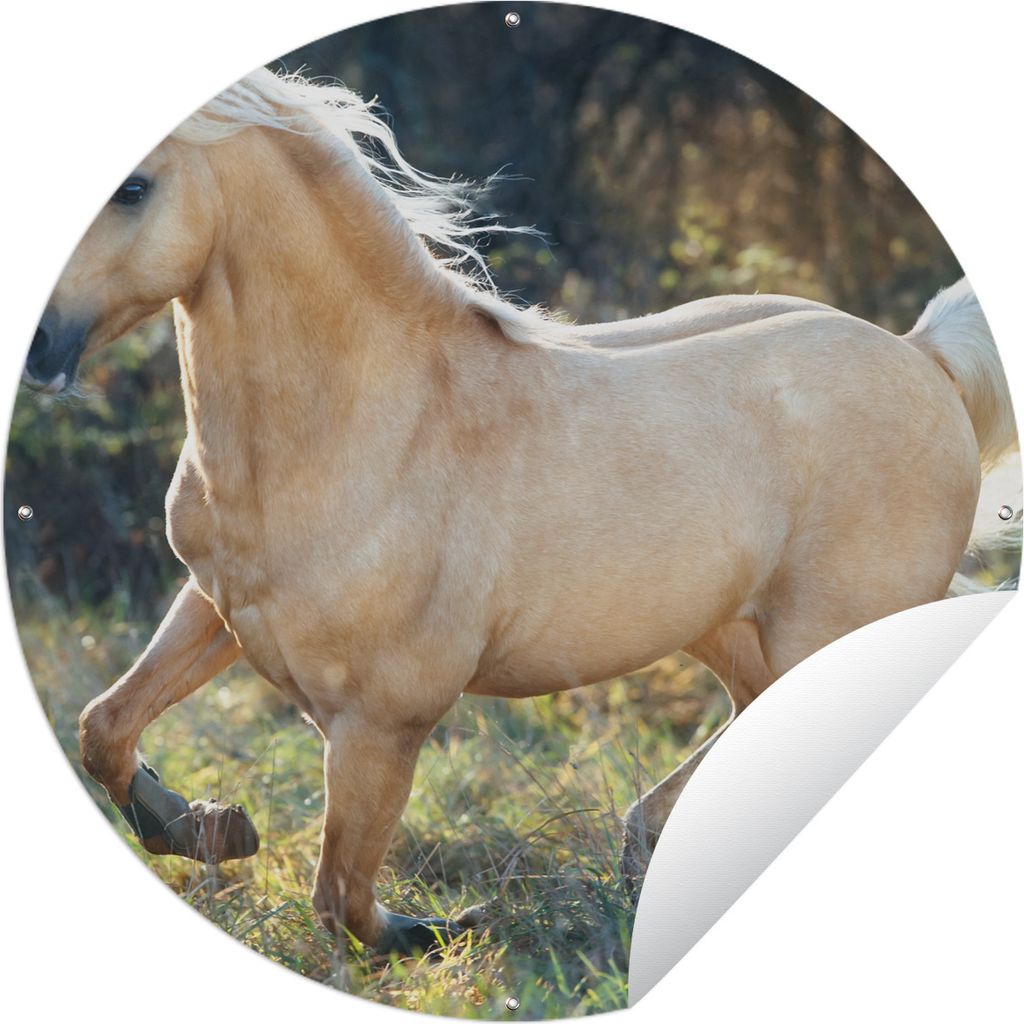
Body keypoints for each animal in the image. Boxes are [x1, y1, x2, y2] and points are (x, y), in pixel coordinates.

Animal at [26, 69, 1013, 953]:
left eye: (133, 186)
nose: (36, 349)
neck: (365, 424)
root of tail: (923, 357)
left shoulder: (383, 719)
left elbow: (342, 900)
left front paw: (430, 930)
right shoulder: (216, 604)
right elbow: (104, 728)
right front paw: (207, 824)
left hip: (823, 634)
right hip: (728, 626)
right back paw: (644, 851)